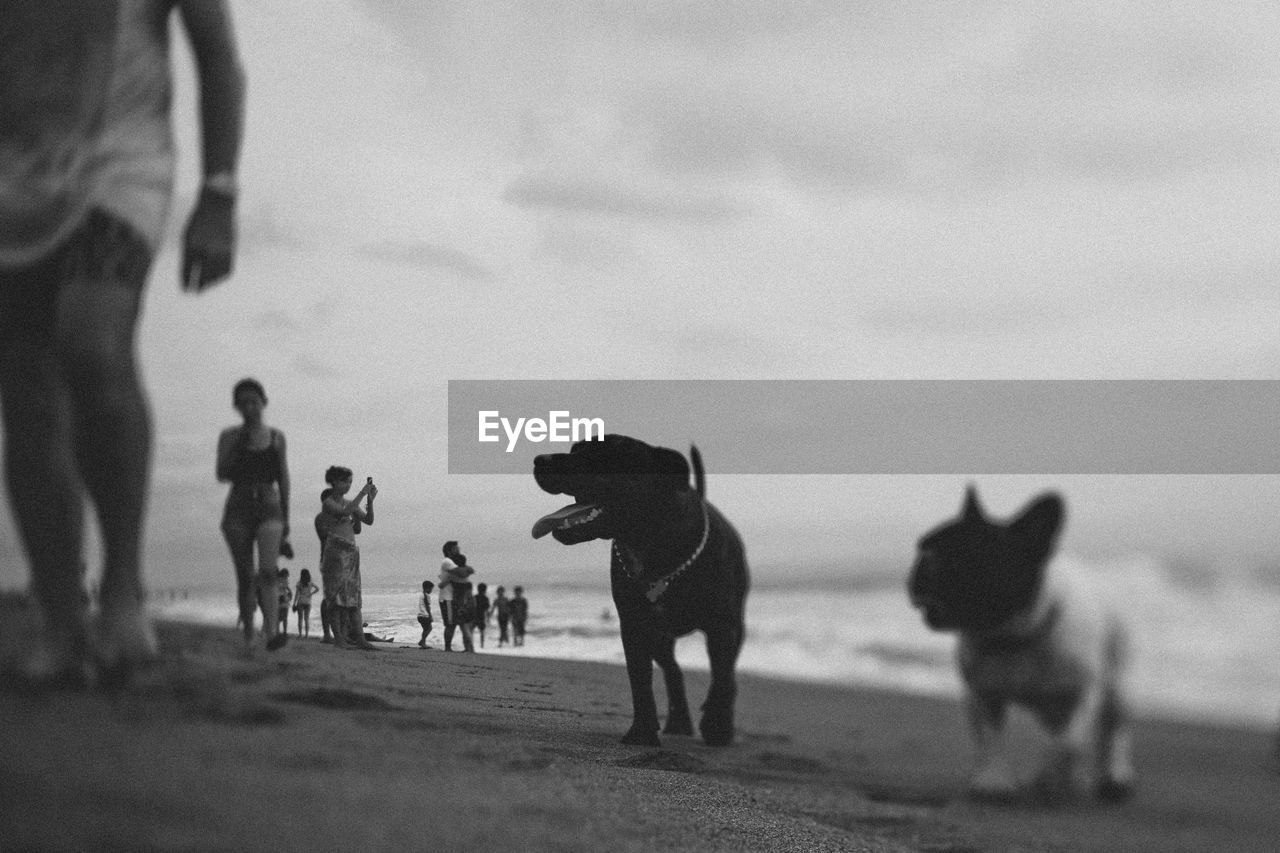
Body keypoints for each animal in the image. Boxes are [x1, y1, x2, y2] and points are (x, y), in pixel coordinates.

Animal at [532, 435, 747, 742]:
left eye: (603, 456)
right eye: (575, 448)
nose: (540, 460)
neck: (649, 542)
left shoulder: (723, 627)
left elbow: (722, 676)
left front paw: (717, 725)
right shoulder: (635, 626)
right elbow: (640, 680)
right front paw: (642, 733)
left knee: (724, 674)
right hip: (660, 637)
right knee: (673, 671)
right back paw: (679, 721)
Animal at [906, 489, 1136, 799]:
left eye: (966, 556)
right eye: (923, 547)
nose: (926, 561)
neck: (1012, 638)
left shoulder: (1084, 693)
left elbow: (1069, 743)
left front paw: (1046, 775)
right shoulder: (982, 695)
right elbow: (990, 738)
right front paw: (994, 780)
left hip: (1119, 688)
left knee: (1116, 733)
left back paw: (1113, 776)